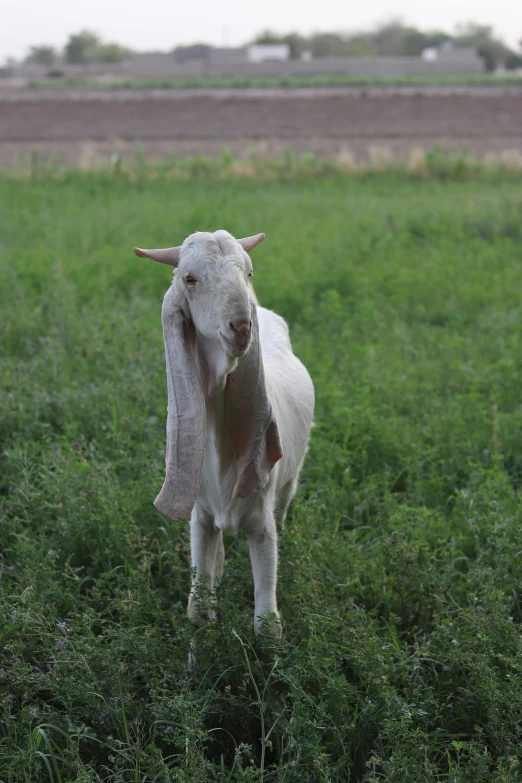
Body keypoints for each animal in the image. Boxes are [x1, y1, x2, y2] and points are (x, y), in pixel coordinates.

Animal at [134, 230, 312, 632]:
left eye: (249, 272)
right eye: (189, 279)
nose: (242, 327)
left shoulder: (261, 523)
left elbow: (267, 622)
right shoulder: (200, 518)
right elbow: (199, 609)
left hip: (289, 483)